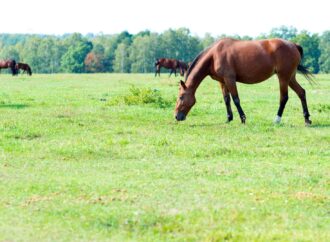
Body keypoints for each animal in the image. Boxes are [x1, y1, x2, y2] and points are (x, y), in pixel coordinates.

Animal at [174, 37, 314, 125]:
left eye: (181, 97)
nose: (176, 116)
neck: (214, 55)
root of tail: (294, 45)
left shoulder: (230, 79)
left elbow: (236, 99)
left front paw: (242, 119)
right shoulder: (222, 81)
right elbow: (227, 100)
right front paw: (228, 119)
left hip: (283, 77)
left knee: (284, 97)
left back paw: (277, 119)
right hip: (290, 77)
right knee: (301, 92)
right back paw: (307, 119)